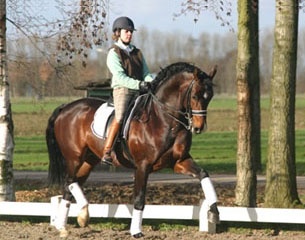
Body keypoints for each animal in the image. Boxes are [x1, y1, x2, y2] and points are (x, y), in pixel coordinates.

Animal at [45, 62, 218, 238]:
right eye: (195, 96)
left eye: (210, 97)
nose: (198, 127)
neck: (164, 120)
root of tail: (66, 107)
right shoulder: (142, 166)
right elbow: (139, 199)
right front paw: (136, 231)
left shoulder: (179, 161)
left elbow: (203, 174)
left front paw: (214, 212)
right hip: (74, 158)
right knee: (69, 180)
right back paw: (80, 215)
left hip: (89, 160)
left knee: (69, 187)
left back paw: (65, 225)